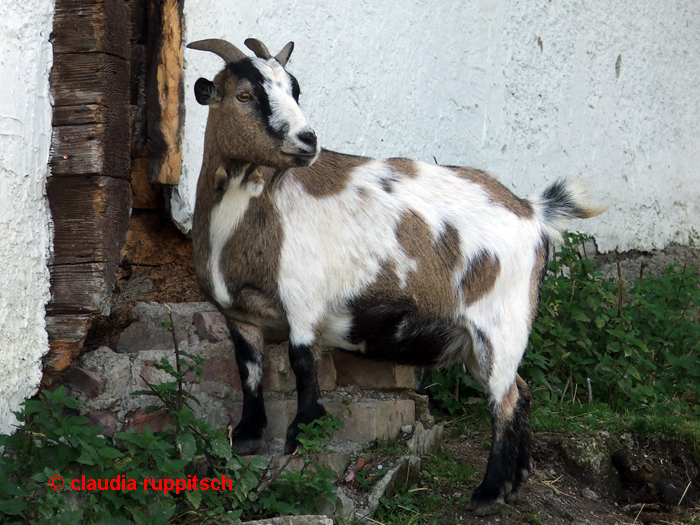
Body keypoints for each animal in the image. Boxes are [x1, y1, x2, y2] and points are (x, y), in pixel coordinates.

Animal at [187, 39, 608, 512]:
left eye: (295, 90)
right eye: (244, 95)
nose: (307, 140)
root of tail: (532, 211)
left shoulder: (303, 299)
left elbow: (303, 364)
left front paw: (302, 434)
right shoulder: (238, 313)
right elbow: (249, 367)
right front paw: (247, 436)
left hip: (502, 321)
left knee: (506, 399)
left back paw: (486, 493)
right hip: (477, 342)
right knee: (522, 390)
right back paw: (515, 482)